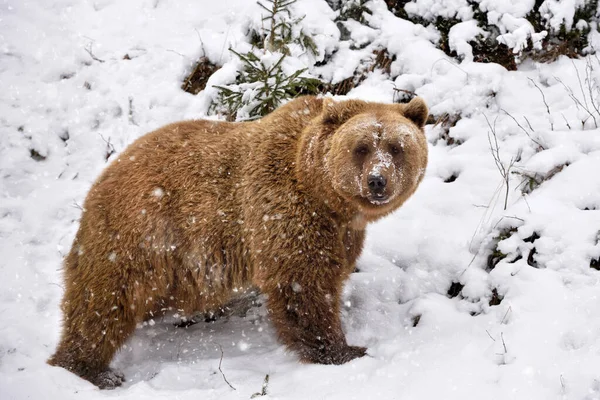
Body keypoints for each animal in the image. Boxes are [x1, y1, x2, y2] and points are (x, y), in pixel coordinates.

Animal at [49, 94, 428, 388]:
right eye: (361, 147)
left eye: (397, 147)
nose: (377, 181)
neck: (326, 197)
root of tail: (106, 172)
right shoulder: (283, 210)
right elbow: (303, 284)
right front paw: (344, 351)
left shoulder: (342, 233)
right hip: (140, 231)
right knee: (104, 300)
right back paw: (90, 369)